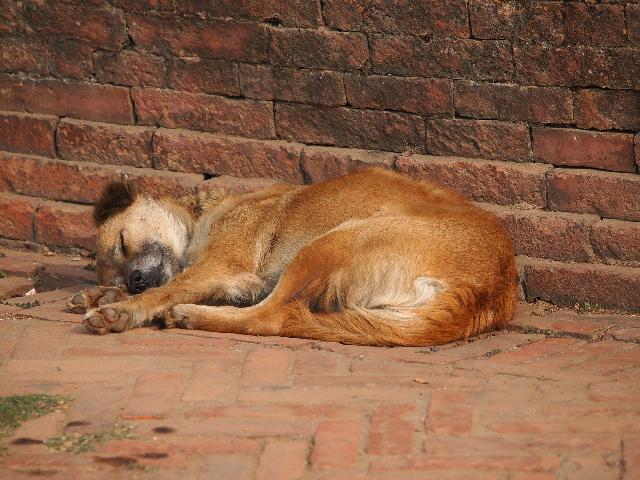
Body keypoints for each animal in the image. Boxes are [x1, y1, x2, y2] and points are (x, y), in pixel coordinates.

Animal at [76, 168, 516, 344]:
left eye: (122, 242)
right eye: (116, 272)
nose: (133, 280)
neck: (202, 215)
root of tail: (487, 290)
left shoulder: (222, 266)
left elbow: (167, 289)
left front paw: (120, 310)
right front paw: (101, 295)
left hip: (331, 241)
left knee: (273, 318)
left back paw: (191, 316)